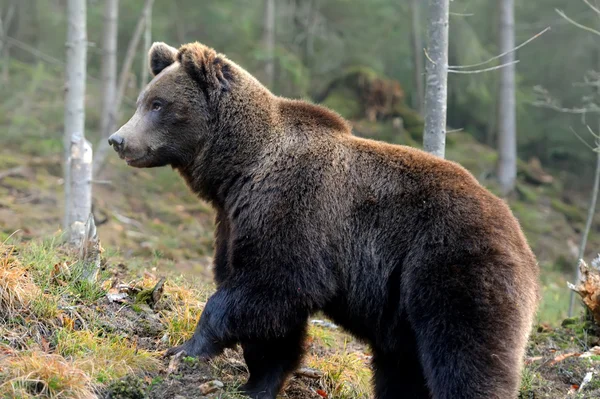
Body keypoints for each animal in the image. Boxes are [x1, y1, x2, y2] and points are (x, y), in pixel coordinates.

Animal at [106, 42, 540, 398]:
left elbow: (267, 286)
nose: (118, 139)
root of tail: (522, 242)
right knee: (402, 367)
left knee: (465, 353)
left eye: (158, 104)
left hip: (452, 267)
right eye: (144, 100)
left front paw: (184, 348)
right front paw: (257, 383)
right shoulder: (235, 221)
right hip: (405, 309)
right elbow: (273, 324)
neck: (237, 170)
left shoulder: (294, 212)